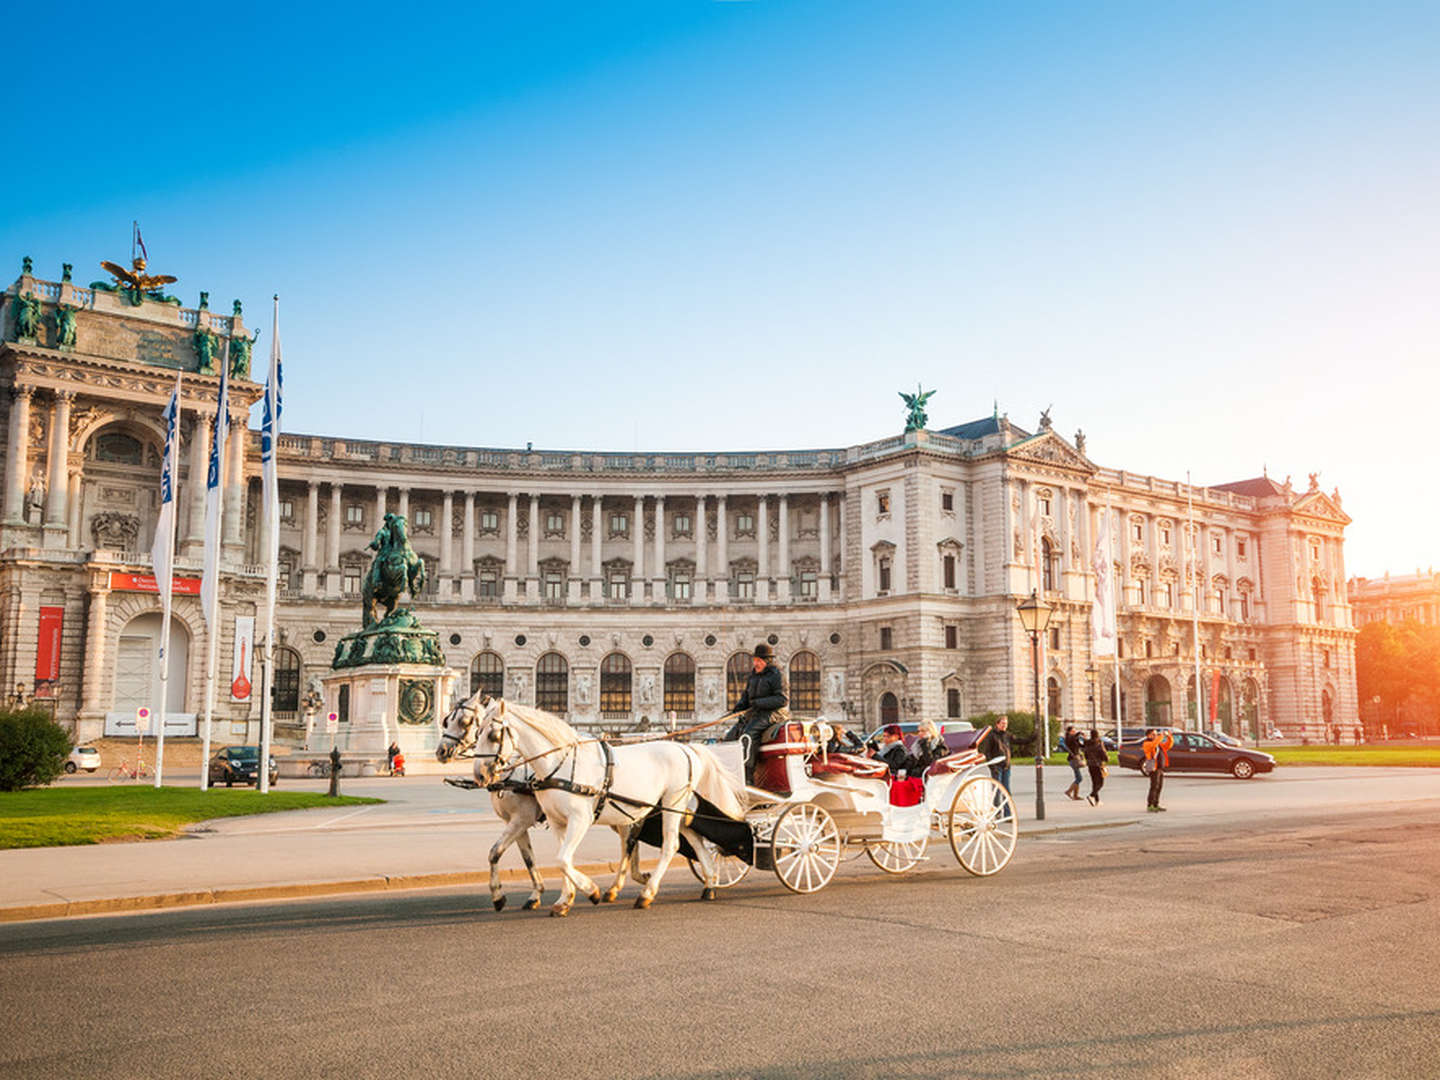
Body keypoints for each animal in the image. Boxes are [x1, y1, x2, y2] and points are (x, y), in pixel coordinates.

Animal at [434, 696, 754, 915]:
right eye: (447, 720)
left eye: (486, 732)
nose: (441, 752)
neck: (555, 763)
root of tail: (686, 747)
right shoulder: (549, 822)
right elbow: (534, 858)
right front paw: (557, 899)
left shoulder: (565, 818)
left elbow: (561, 859)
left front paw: (589, 891)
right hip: (672, 808)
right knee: (692, 839)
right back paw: (708, 883)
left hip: (670, 802)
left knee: (670, 844)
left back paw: (646, 892)